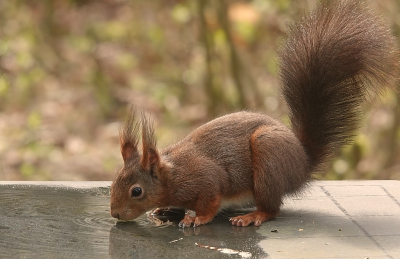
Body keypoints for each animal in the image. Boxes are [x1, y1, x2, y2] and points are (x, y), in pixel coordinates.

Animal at [110, 0, 400, 228]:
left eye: (137, 191)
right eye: (114, 181)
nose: (115, 213)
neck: (172, 174)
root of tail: (302, 164)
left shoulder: (206, 179)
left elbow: (210, 201)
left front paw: (196, 218)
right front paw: (165, 209)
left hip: (268, 156)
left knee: (272, 209)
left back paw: (252, 216)